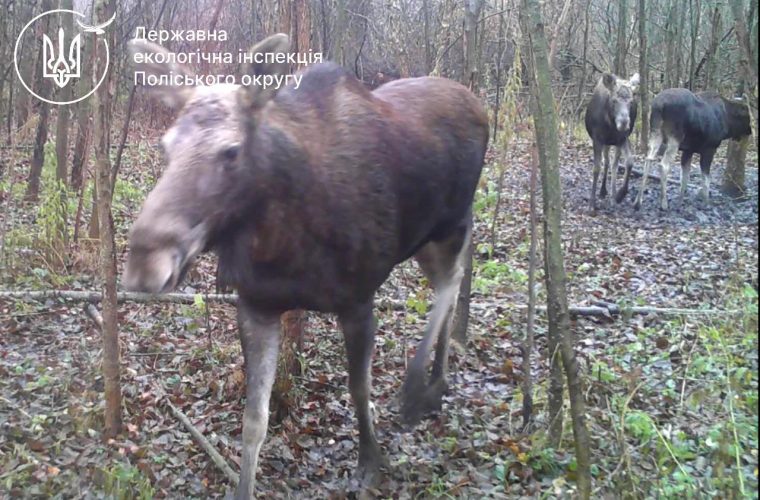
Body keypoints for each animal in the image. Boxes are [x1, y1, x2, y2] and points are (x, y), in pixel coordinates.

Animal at [123, 34, 486, 496]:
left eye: (232, 150)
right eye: (165, 146)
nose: (144, 262)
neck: (281, 241)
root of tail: (478, 103)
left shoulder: (359, 300)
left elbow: (359, 389)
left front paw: (370, 462)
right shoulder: (256, 305)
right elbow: (254, 419)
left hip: (452, 222)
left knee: (453, 281)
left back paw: (422, 386)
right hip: (424, 237)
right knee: (451, 284)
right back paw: (436, 381)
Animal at [584, 72, 640, 209]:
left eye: (631, 102)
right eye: (614, 100)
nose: (624, 122)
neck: (610, 124)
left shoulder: (621, 139)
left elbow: (627, 162)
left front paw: (618, 195)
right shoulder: (597, 139)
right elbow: (596, 168)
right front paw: (592, 202)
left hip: (612, 143)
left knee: (612, 164)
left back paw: (610, 193)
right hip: (606, 143)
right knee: (607, 162)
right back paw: (603, 191)